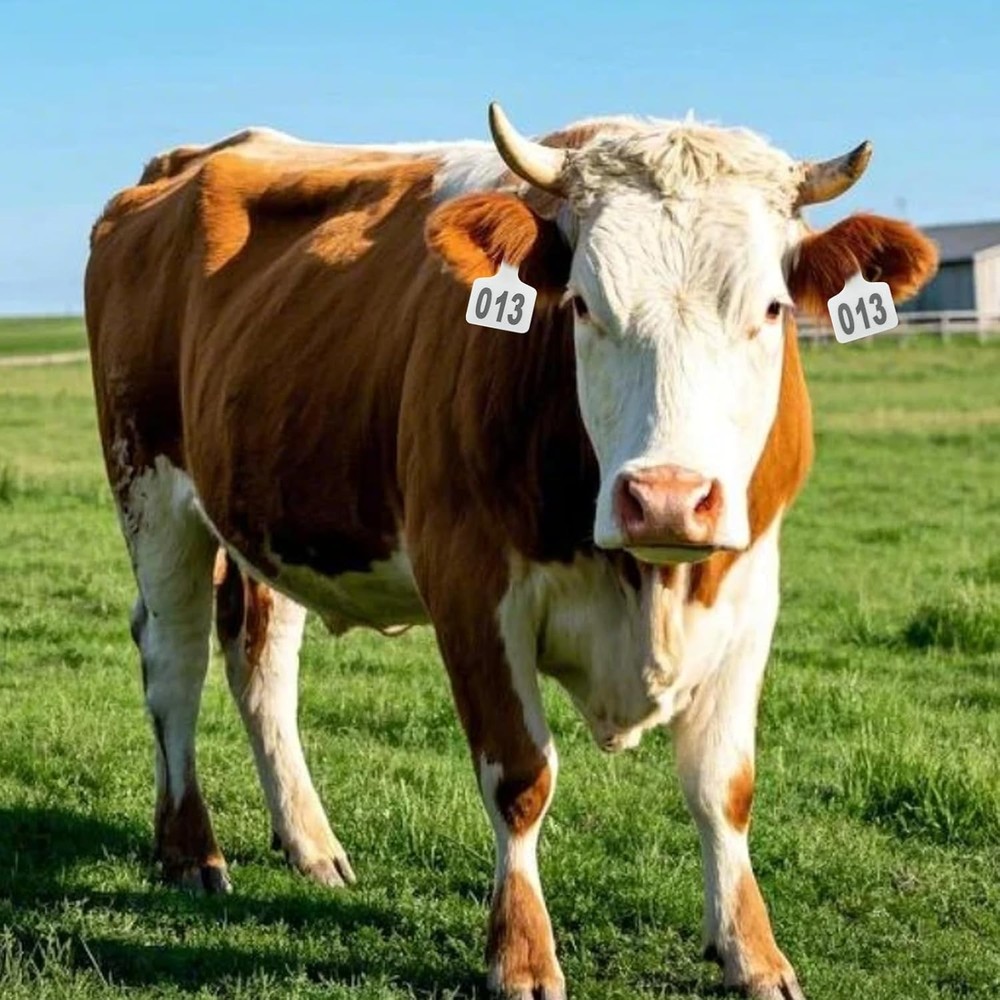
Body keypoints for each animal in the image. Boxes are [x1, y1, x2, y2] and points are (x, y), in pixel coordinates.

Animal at [84, 103, 937, 999]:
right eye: (585, 306)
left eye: (771, 310)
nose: (667, 497)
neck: (648, 587)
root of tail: (190, 160)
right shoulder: (470, 585)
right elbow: (521, 777)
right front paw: (522, 953)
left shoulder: (749, 590)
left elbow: (722, 786)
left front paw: (752, 951)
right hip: (149, 489)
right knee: (174, 662)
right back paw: (189, 849)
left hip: (267, 513)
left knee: (263, 664)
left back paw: (309, 844)